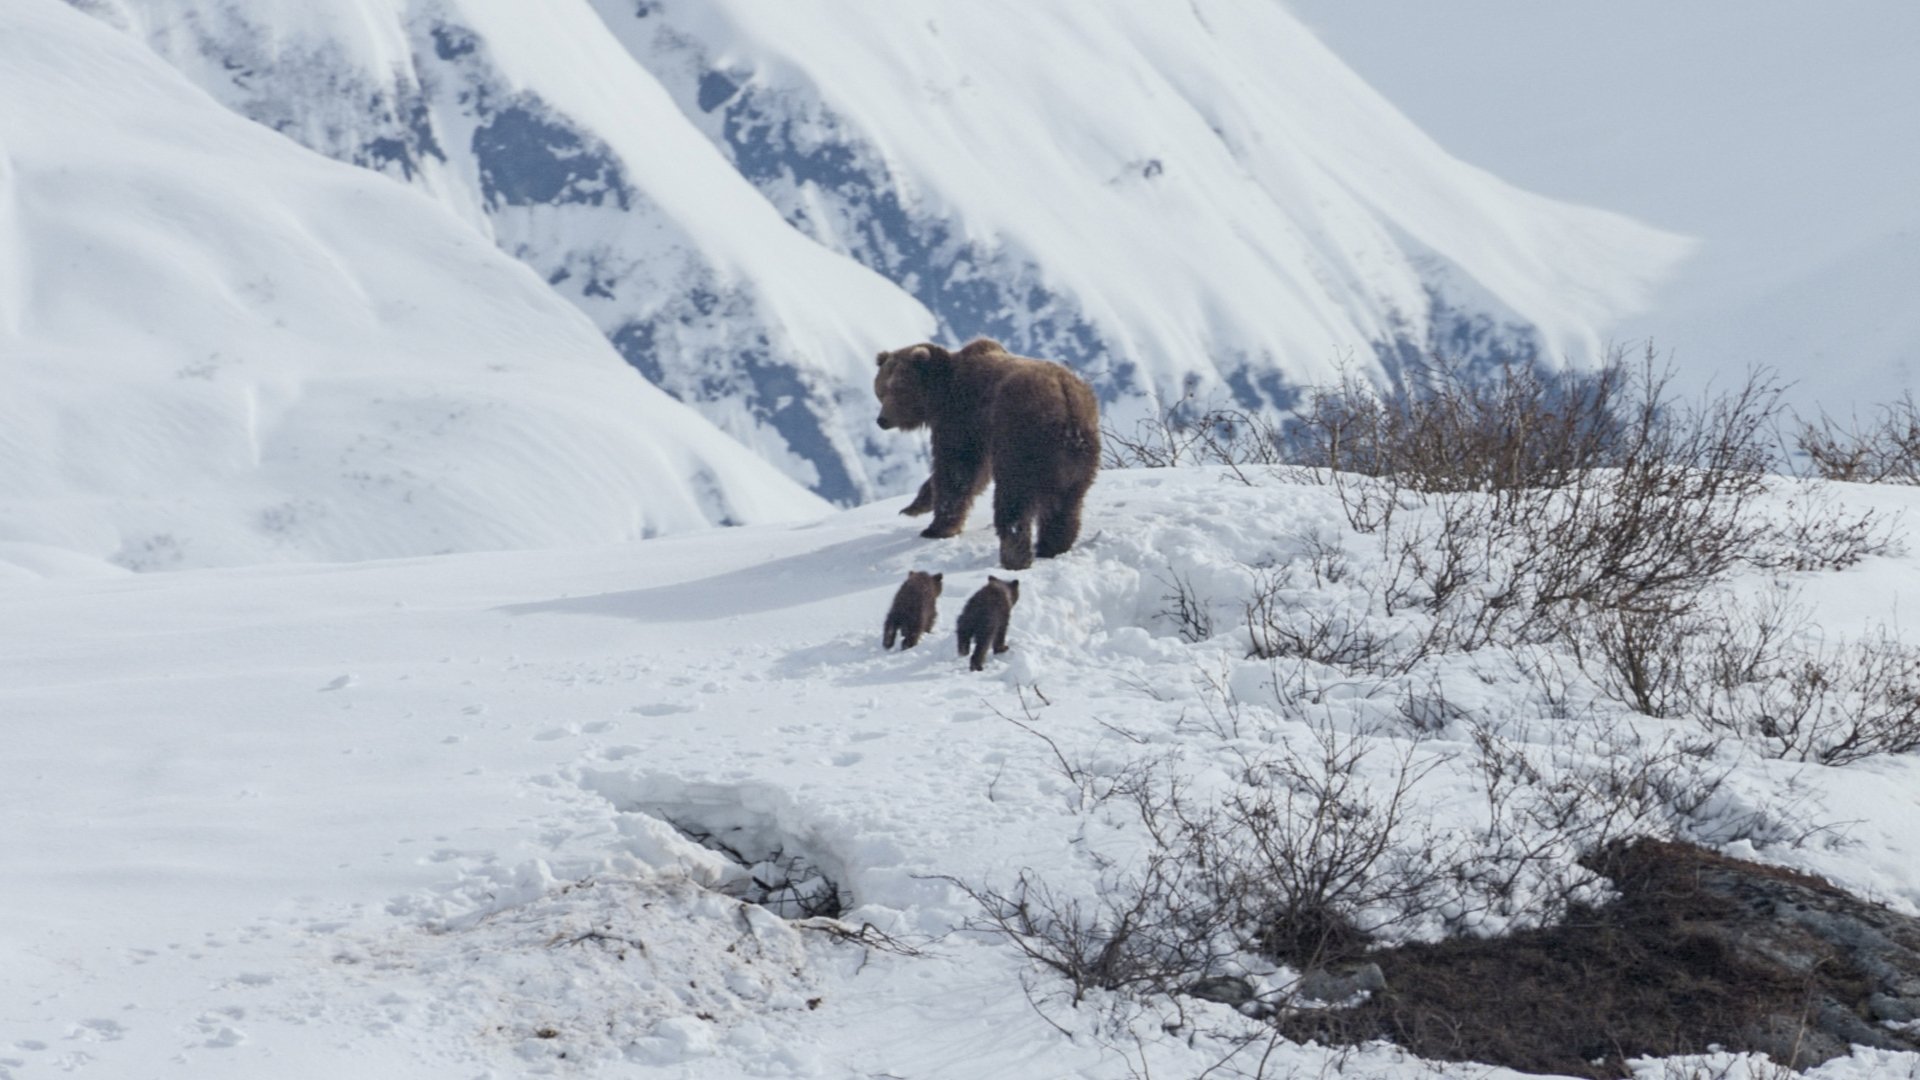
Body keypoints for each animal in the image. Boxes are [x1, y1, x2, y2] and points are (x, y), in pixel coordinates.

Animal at [871, 336, 1098, 572]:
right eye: (880, 389)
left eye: (898, 388)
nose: (882, 420)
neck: (941, 394)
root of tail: (1067, 404)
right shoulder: (983, 434)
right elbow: (973, 476)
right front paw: (913, 507)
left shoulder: (965, 418)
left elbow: (957, 470)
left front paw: (937, 527)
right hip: (1076, 459)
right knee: (1065, 505)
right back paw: (1051, 547)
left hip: (1023, 441)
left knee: (1013, 497)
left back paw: (1014, 557)